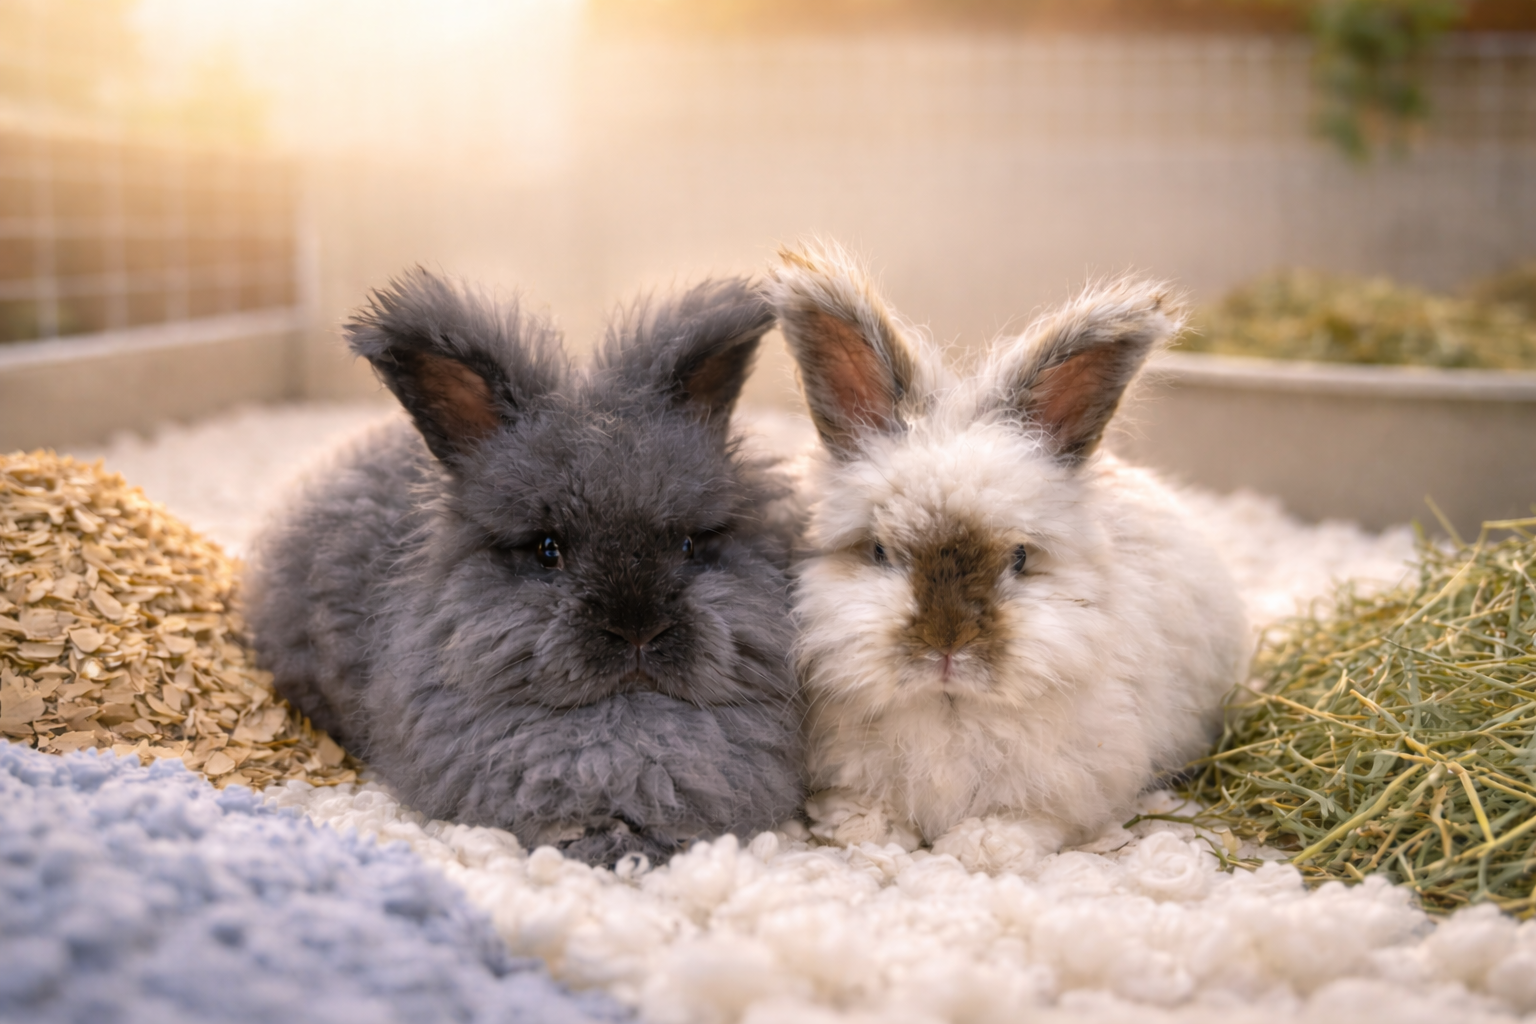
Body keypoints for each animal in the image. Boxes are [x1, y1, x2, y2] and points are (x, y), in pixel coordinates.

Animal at [767, 243, 1249, 857]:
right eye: (878, 551)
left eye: (1019, 558)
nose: (947, 646)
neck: (949, 705)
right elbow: (864, 810)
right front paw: (869, 835)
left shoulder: (1065, 786)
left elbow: (1024, 820)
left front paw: (982, 848)